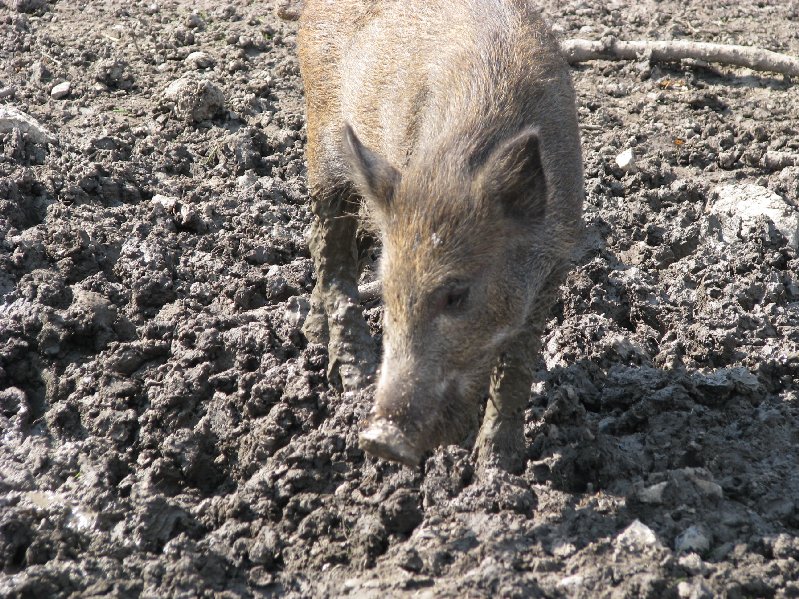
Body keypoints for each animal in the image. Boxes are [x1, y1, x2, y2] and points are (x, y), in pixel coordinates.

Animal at [296, 0, 584, 474]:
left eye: (456, 295)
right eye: (388, 295)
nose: (380, 440)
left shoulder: (554, 262)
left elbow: (517, 366)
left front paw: (497, 468)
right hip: (320, 135)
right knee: (329, 251)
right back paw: (350, 377)